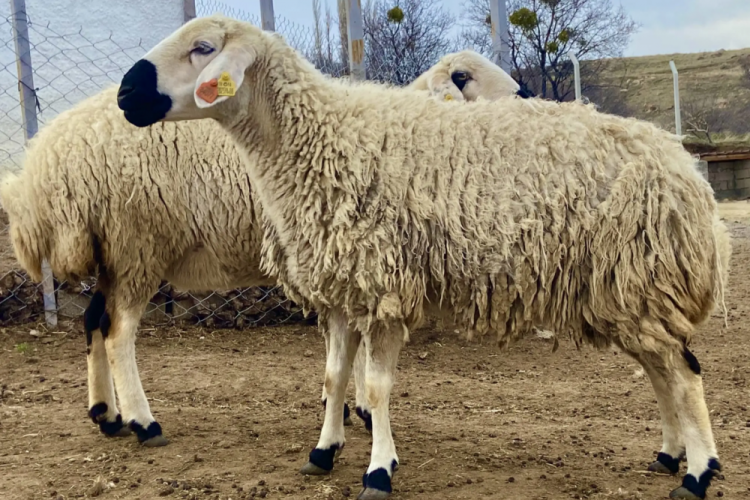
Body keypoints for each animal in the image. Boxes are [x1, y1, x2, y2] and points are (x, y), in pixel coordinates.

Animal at [116, 15, 728, 500]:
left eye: (203, 47)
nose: (124, 93)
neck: (319, 140)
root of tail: (683, 164)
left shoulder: (382, 284)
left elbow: (375, 387)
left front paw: (378, 470)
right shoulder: (342, 290)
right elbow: (335, 377)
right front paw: (323, 451)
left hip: (642, 279)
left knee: (684, 374)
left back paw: (698, 473)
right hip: (624, 289)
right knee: (660, 369)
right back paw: (670, 453)